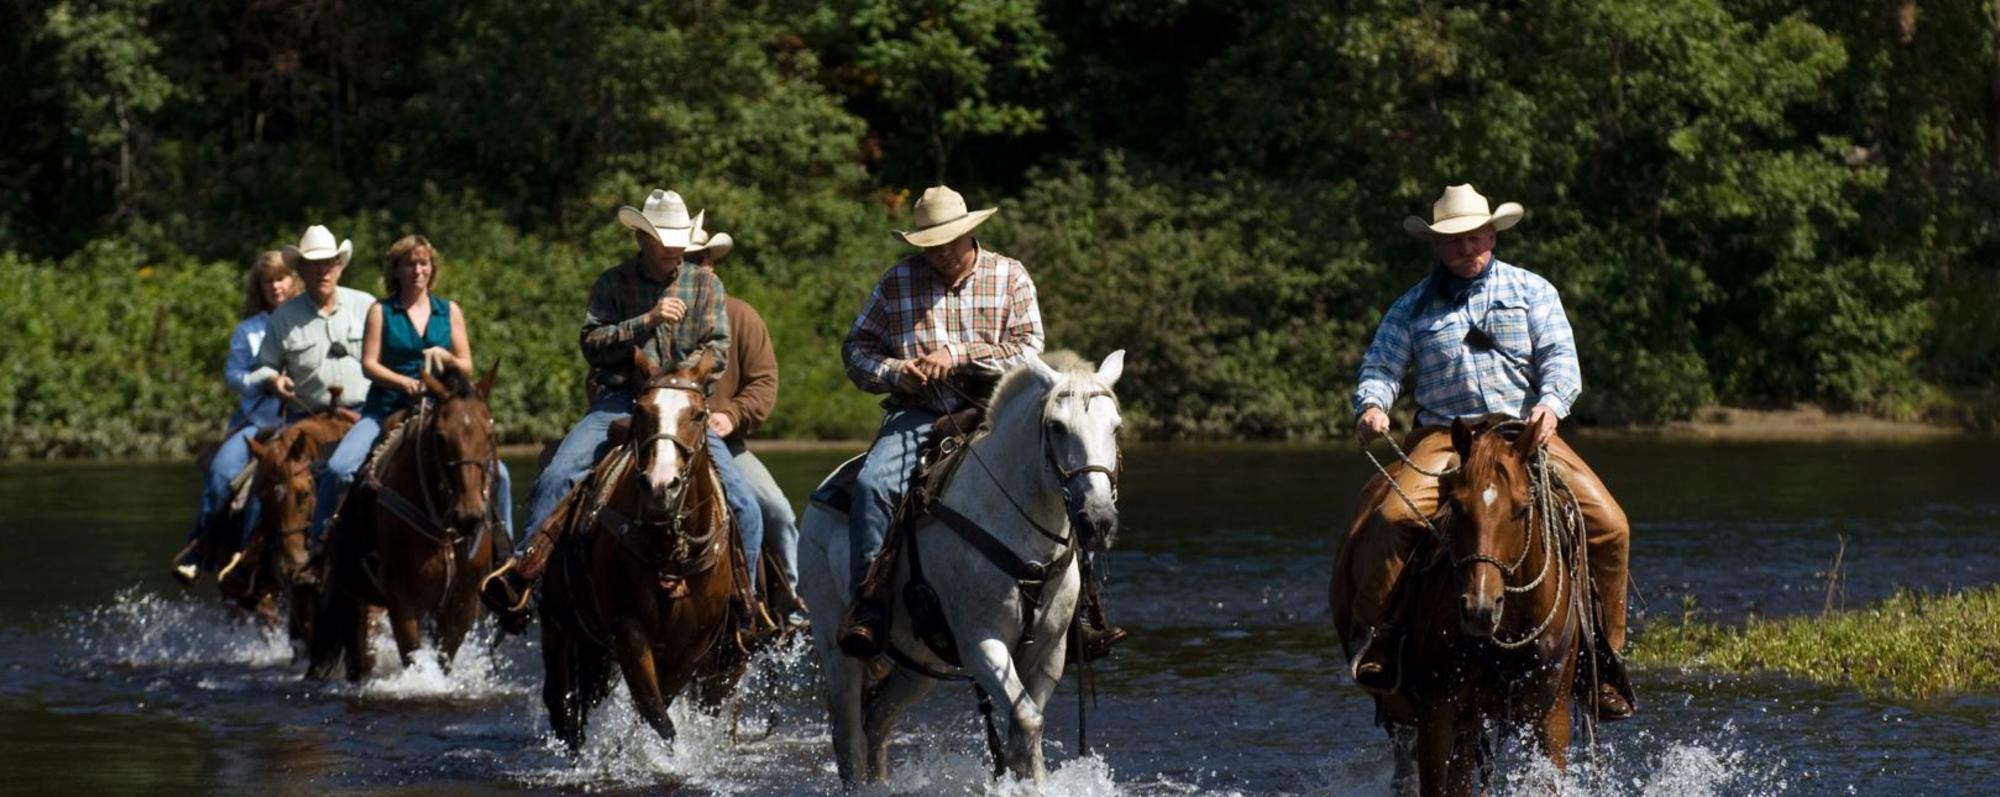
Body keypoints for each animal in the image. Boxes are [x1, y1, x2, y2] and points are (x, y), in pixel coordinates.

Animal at [312, 366, 504, 676]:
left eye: (489, 434)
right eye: (440, 436)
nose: (469, 515)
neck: (443, 528)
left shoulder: (461, 601)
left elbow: (445, 658)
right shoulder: (401, 597)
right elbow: (412, 655)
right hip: (350, 598)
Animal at [536, 350, 748, 752]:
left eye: (699, 414)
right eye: (641, 410)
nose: (660, 486)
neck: (670, 550)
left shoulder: (694, 643)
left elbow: (658, 707)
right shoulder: (628, 629)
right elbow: (654, 711)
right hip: (559, 625)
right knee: (561, 704)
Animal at [804, 348, 1136, 784]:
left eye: (1115, 427)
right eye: (1057, 427)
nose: (1098, 520)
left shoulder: (1050, 650)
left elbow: (1022, 731)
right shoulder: (981, 642)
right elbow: (1028, 720)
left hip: (919, 664)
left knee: (877, 719)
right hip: (836, 647)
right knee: (849, 739)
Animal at [1328, 416, 1592, 796]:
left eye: (1522, 508)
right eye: (1456, 505)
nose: (1480, 609)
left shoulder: (1549, 712)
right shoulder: (1437, 710)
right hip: (1402, 709)